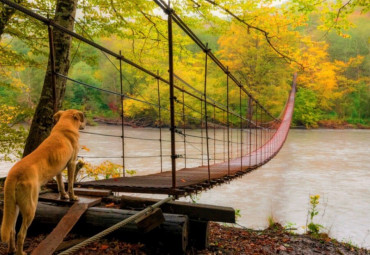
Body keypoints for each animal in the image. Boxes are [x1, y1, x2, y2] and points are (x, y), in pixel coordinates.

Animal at [0, 109, 84, 255]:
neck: (64, 125)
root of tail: (13, 175)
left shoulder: (58, 168)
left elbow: (61, 184)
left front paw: (63, 196)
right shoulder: (72, 163)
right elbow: (70, 185)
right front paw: (72, 197)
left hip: (14, 206)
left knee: (11, 231)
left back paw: (12, 250)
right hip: (30, 208)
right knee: (21, 234)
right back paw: (21, 252)